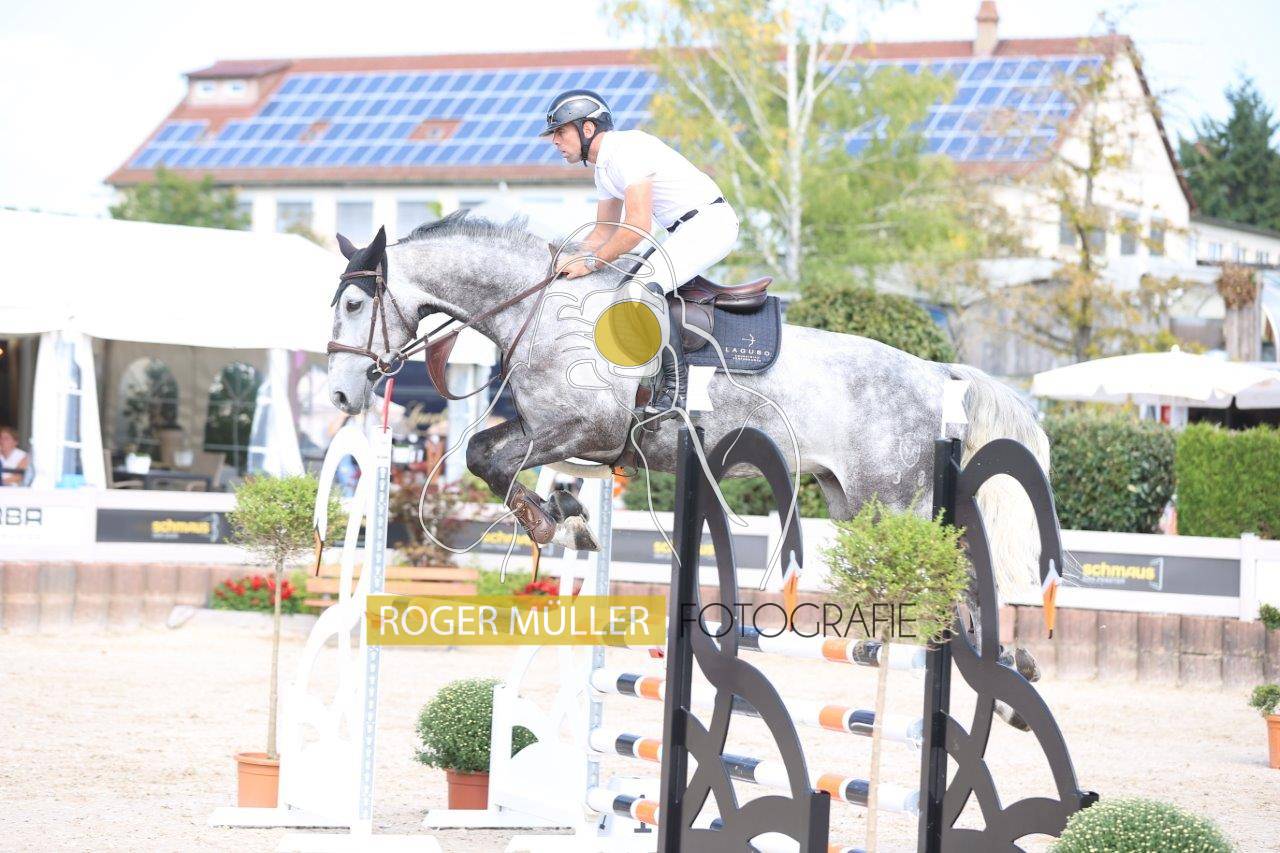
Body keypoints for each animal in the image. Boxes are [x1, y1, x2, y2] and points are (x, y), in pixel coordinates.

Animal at [325, 213, 1050, 722]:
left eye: (355, 306)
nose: (338, 396)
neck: (540, 311)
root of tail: (936, 372)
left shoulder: (584, 427)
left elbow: (489, 457)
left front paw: (549, 521)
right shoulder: (552, 431)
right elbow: (491, 455)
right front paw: (565, 516)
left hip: (893, 501)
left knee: (957, 575)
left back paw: (998, 673)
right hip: (854, 501)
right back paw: (1010, 677)